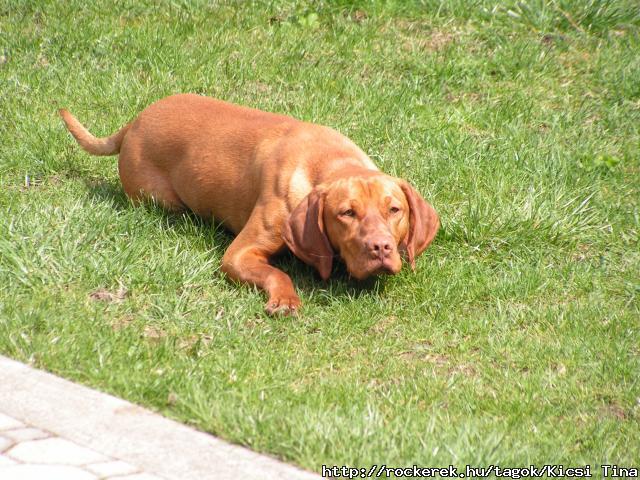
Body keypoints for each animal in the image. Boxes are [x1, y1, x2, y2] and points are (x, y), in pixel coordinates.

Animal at [60, 95, 438, 316]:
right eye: (347, 213)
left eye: (394, 210)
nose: (381, 248)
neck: (329, 160)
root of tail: (135, 121)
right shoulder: (239, 254)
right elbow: (277, 272)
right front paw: (285, 299)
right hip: (160, 200)